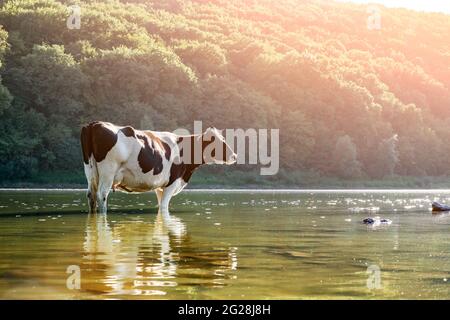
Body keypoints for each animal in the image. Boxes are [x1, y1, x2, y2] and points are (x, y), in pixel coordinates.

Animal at [79, 121, 237, 214]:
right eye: (218, 141)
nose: (235, 155)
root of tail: (94, 124)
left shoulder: (160, 187)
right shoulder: (172, 183)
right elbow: (164, 207)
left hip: (90, 171)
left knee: (91, 195)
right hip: (108, 171)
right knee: (102, 195)